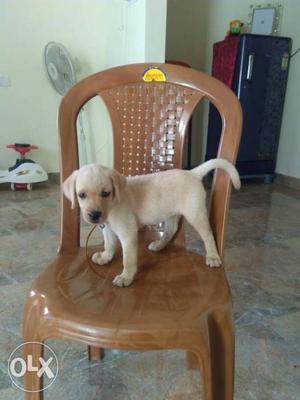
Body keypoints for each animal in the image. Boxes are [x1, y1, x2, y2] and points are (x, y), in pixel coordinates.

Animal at [63, 159, 241, 288]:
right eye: (81, 195)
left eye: (105, 193)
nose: (94, 215)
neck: (112, 207)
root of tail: (193, 173)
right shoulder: (107, 229)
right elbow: (109, 245)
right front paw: (105, 257)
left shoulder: (128, 234)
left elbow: (128, 260)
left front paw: (126, 277)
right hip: (171, 213)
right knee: (171, 230)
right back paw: (159, 245)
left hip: (195, 214)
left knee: (208, 235)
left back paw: (213, 256)